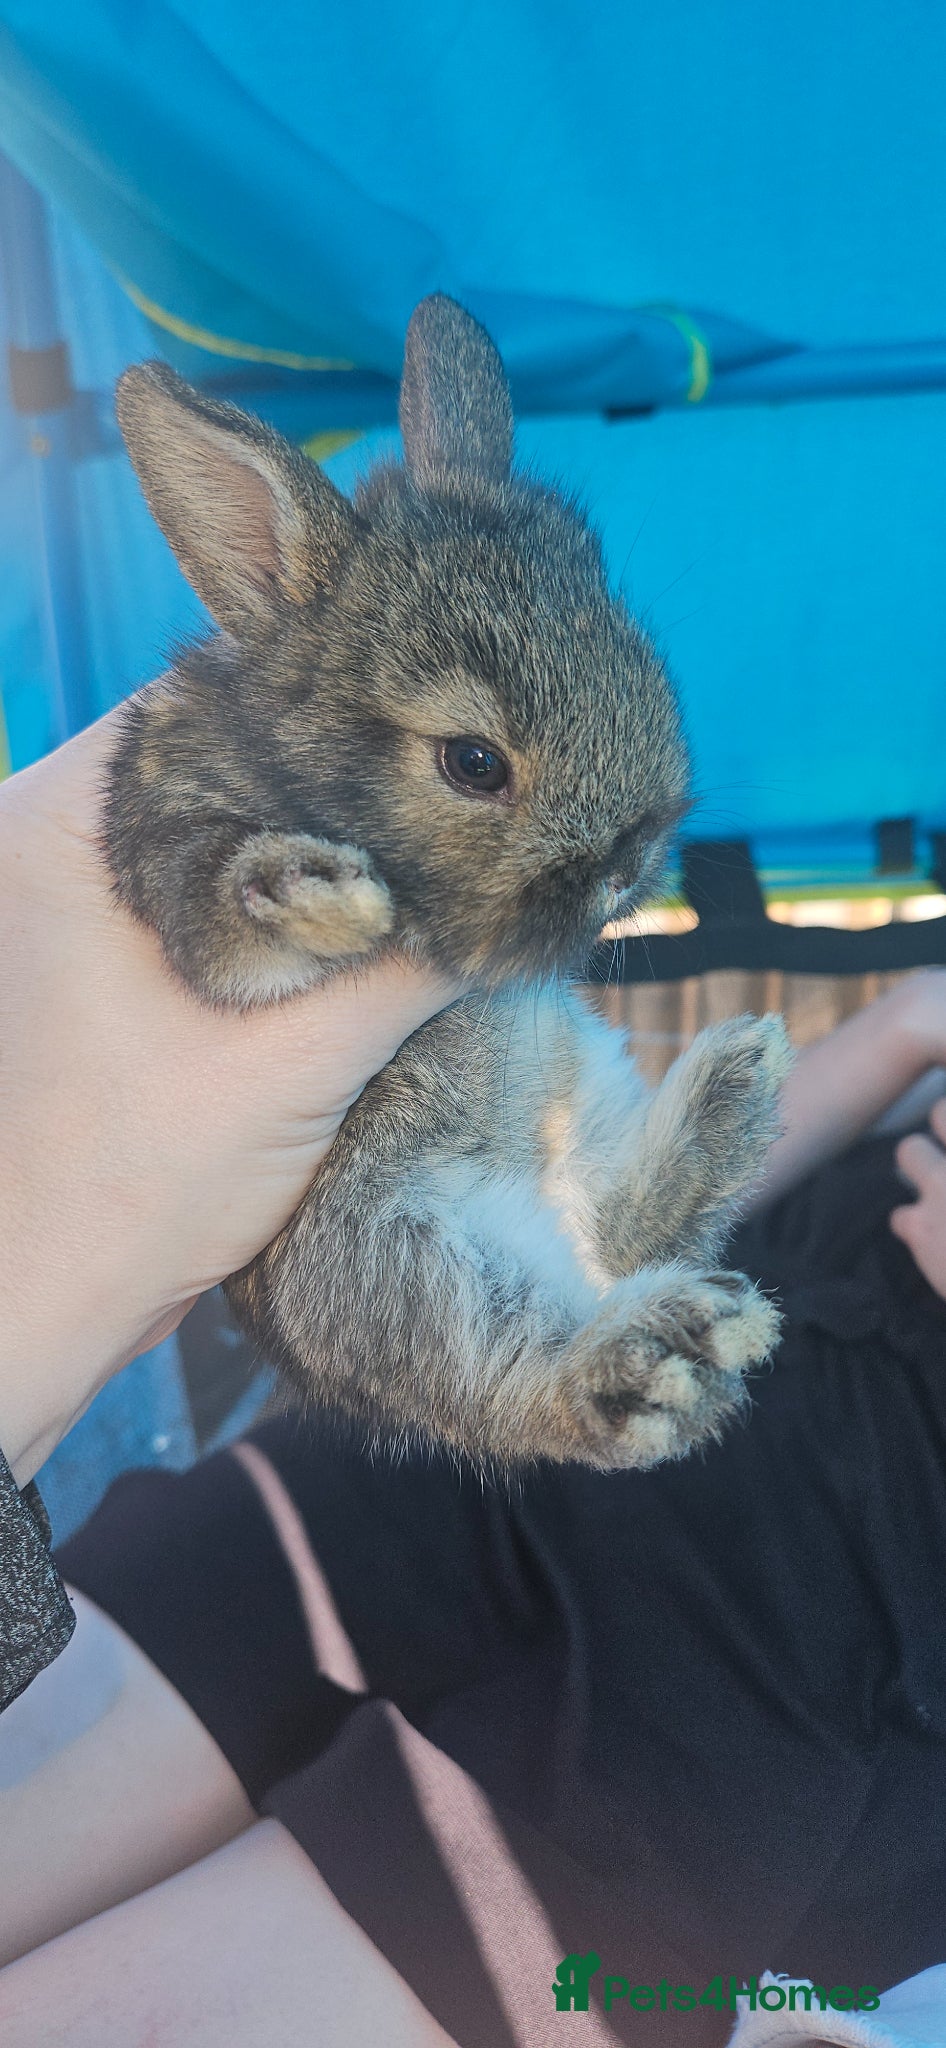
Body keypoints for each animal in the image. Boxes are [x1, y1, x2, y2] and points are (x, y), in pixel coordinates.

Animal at [103, 292, 792, 1470]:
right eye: (472, 763)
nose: (627, 859)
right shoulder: (168, 839)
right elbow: (223, 914)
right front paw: (323, 893)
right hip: (395, 1261)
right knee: (524, 1383)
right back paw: (661, 1348)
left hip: (576, 1092)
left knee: (619, 1233)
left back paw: (736, 1089)